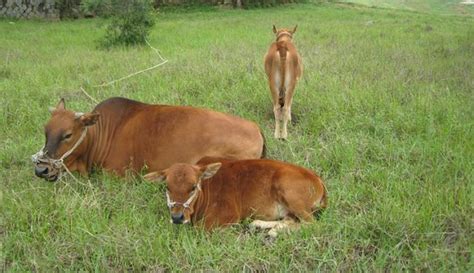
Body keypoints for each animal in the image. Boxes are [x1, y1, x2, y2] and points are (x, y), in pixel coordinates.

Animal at [144, 157, 328, 236]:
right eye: (167, 187)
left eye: (193, 187)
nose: (177, 217)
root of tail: (318, 179)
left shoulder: (227, 216)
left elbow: (200, 229)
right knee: (290, 220)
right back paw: (260, 225)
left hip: (291, 195)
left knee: (314, 225)